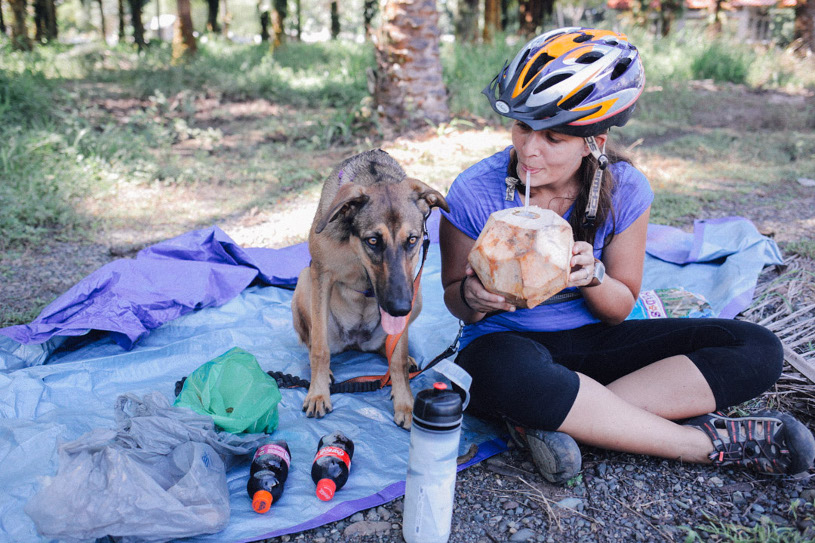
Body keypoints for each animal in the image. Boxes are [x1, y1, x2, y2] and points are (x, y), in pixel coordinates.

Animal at [292, 149, 450, 430]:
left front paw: (405, 403)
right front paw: (318, 393)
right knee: (312, 342)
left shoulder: (409, 288)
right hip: (304, 281)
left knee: (390, 348)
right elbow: (320, 348)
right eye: (373, 240)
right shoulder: (320, 273)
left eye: (412, 239)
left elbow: (397, 358)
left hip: (417, 294)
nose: (400, 308)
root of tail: (356, 342)